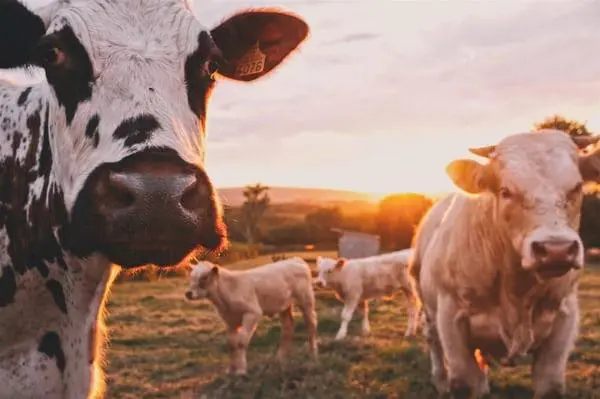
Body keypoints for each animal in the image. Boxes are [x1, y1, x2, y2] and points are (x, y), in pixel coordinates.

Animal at [184, 258, 316, 376]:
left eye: (204, 277)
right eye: (191, 276)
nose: (188, 293)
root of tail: (295, 260)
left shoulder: (252, 313)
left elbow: (241, 342)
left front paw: (241, 370)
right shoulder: (229, 320)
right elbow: (231, 344)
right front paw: (231, 370)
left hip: (305, 299)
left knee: (311, 322)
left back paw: (312, 352)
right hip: (284, 305)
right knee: (288, 326)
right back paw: (280, 357)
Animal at [410, 130, 600, 398]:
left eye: (576, 187)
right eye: (506, 190)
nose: (557, 250)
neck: (516, 289)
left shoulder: (564, 317)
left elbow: (550, 383)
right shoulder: (451, 318)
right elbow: (465, 381)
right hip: (425, 301)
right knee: (432, 339)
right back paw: (440, 379)